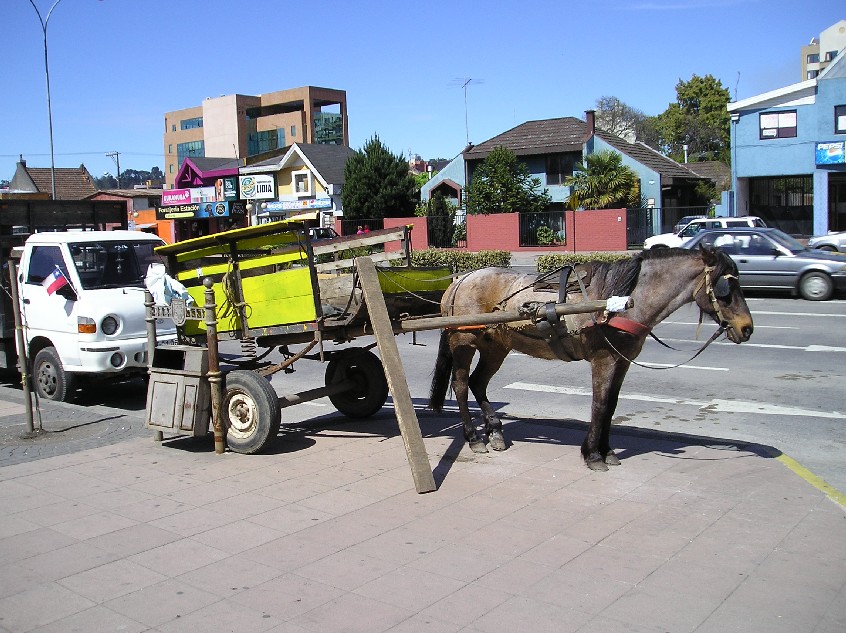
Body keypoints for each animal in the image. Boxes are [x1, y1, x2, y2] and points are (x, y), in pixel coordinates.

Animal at [430, 246, 756, 470]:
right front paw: (594, 455)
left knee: (478, 383)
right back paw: (473, 438)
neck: (622, 301)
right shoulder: (604, 359)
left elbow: (611, 406)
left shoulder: (622, 361)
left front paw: (607, 451)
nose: (746, 328)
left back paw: (495, 432)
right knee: (461, 385)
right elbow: (599, 405)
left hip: (496, 346)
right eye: (725, 287)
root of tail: (462, 278)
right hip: (464, 342)